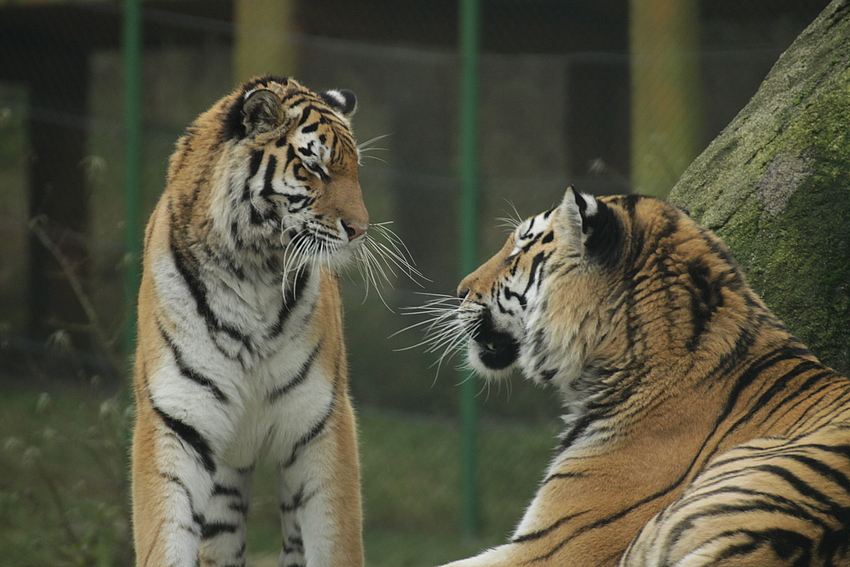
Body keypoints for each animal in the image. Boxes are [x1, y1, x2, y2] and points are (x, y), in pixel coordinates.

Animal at [133, 77, 368, 567]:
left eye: (355, 168)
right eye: (314, 167)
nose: (361, 229)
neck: (253, 268)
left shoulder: (321, 419)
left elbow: (334, 538)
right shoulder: (175, 417)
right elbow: (166, 533)